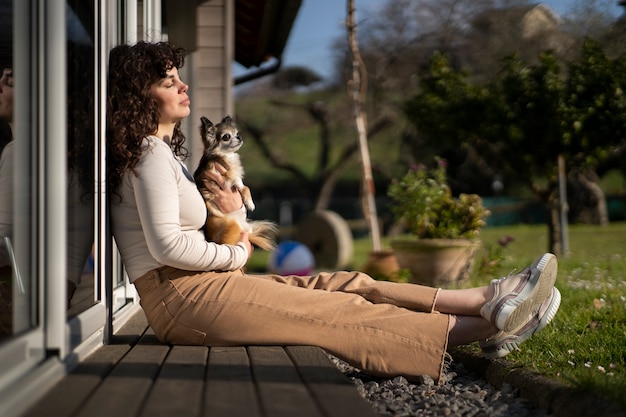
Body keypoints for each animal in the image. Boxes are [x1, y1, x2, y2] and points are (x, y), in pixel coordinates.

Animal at [193, 114, 276, 250]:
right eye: (226, 136)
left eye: (237, 133)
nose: (240, 137)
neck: (227, 156)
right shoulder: (215, 175)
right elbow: (235, 179)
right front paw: (249, 201)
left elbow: (245, 186)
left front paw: (249, 202)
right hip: (232, 227)